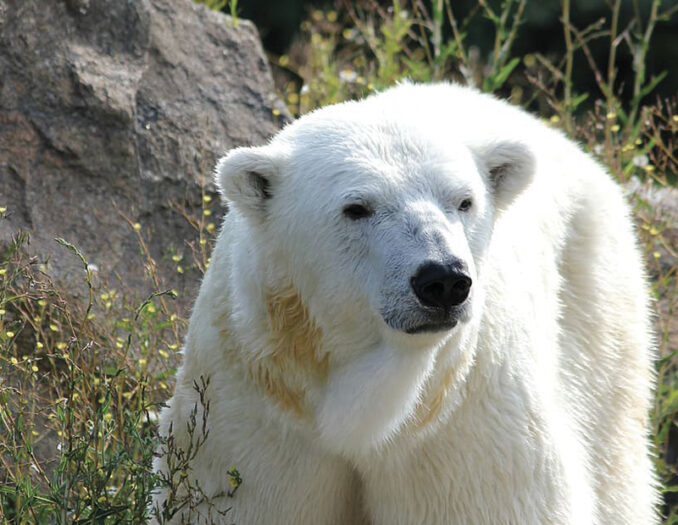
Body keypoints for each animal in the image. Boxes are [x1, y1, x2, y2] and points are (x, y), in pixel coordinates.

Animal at [151, 83, 660, 524]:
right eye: (357, 208)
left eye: (464, 201)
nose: (444, 281)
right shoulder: (252, 402)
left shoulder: (464, 420)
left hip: (596, 307)